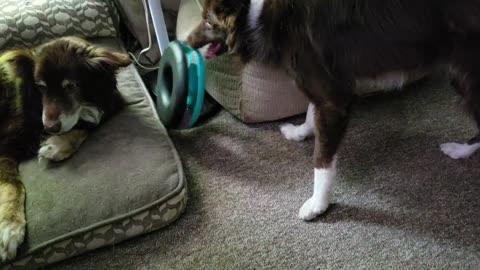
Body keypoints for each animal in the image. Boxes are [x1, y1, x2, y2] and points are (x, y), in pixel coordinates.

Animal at [0, 37, 130, 260]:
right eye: (41, 87)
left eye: (71, 86)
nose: (50, 128)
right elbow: (13, 186)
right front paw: (9, 226)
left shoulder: (109, 105)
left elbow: (88, 126)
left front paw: (56, 146)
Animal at [186, 0, 480, 221]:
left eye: (209, 21)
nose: (185, 41)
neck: (265, 15)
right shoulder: (323, 86)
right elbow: (309, 112)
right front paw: (299, 132)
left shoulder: (334, 101)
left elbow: (322, 161)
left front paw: (318, 205)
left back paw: (460, 150)